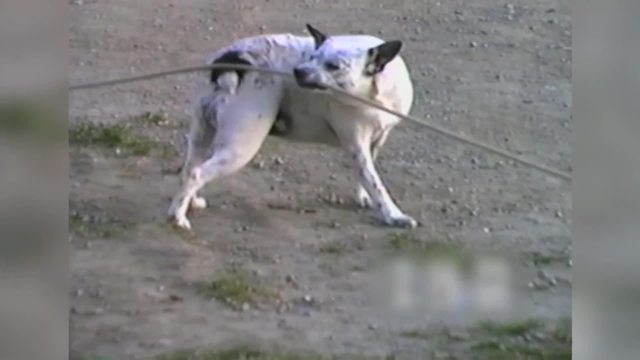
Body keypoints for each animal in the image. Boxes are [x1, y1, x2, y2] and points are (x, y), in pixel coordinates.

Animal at [170, 23, 418, 229]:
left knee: (189, 169)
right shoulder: (356, 145)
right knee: (198, 173)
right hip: (240, 147)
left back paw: (184, 204)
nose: (298, 70)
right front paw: (393, 215)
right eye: (313, 56)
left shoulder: (376, 141)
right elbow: (375, 183)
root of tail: (232, 60)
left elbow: (366, 176)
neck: (374, 93)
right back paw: (178, 218)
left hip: (201, 136)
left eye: (334, 66)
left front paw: (364, 197)